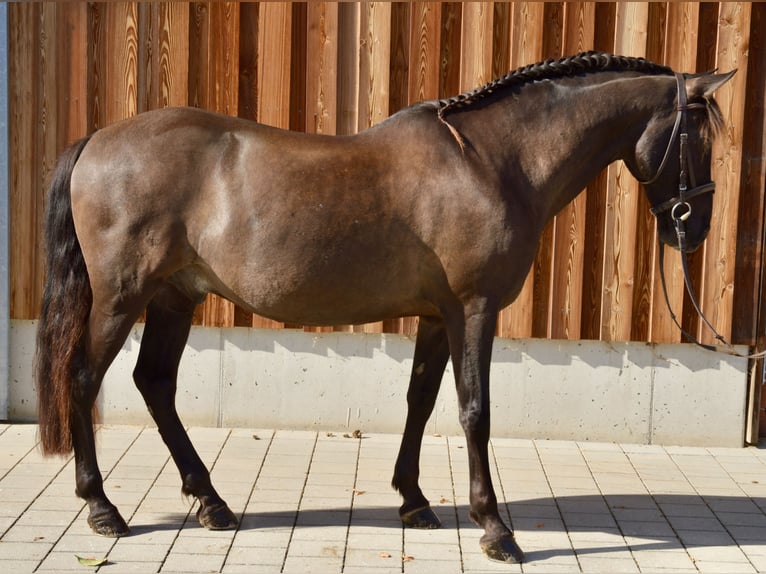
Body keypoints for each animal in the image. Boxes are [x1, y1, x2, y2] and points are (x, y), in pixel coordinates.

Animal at [35, 52, 733, 564]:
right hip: (122, 298)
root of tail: (98, 139)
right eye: (697, 137)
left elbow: (420, 400)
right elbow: (474, 411)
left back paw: (211, 503)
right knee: (83, 379)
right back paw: (103, 509)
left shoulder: (436, 314)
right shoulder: (474, 309)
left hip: (176, 296)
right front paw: (495, 529)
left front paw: (414, 502)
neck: (492, 161)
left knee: (154, 383)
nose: (694, 227)